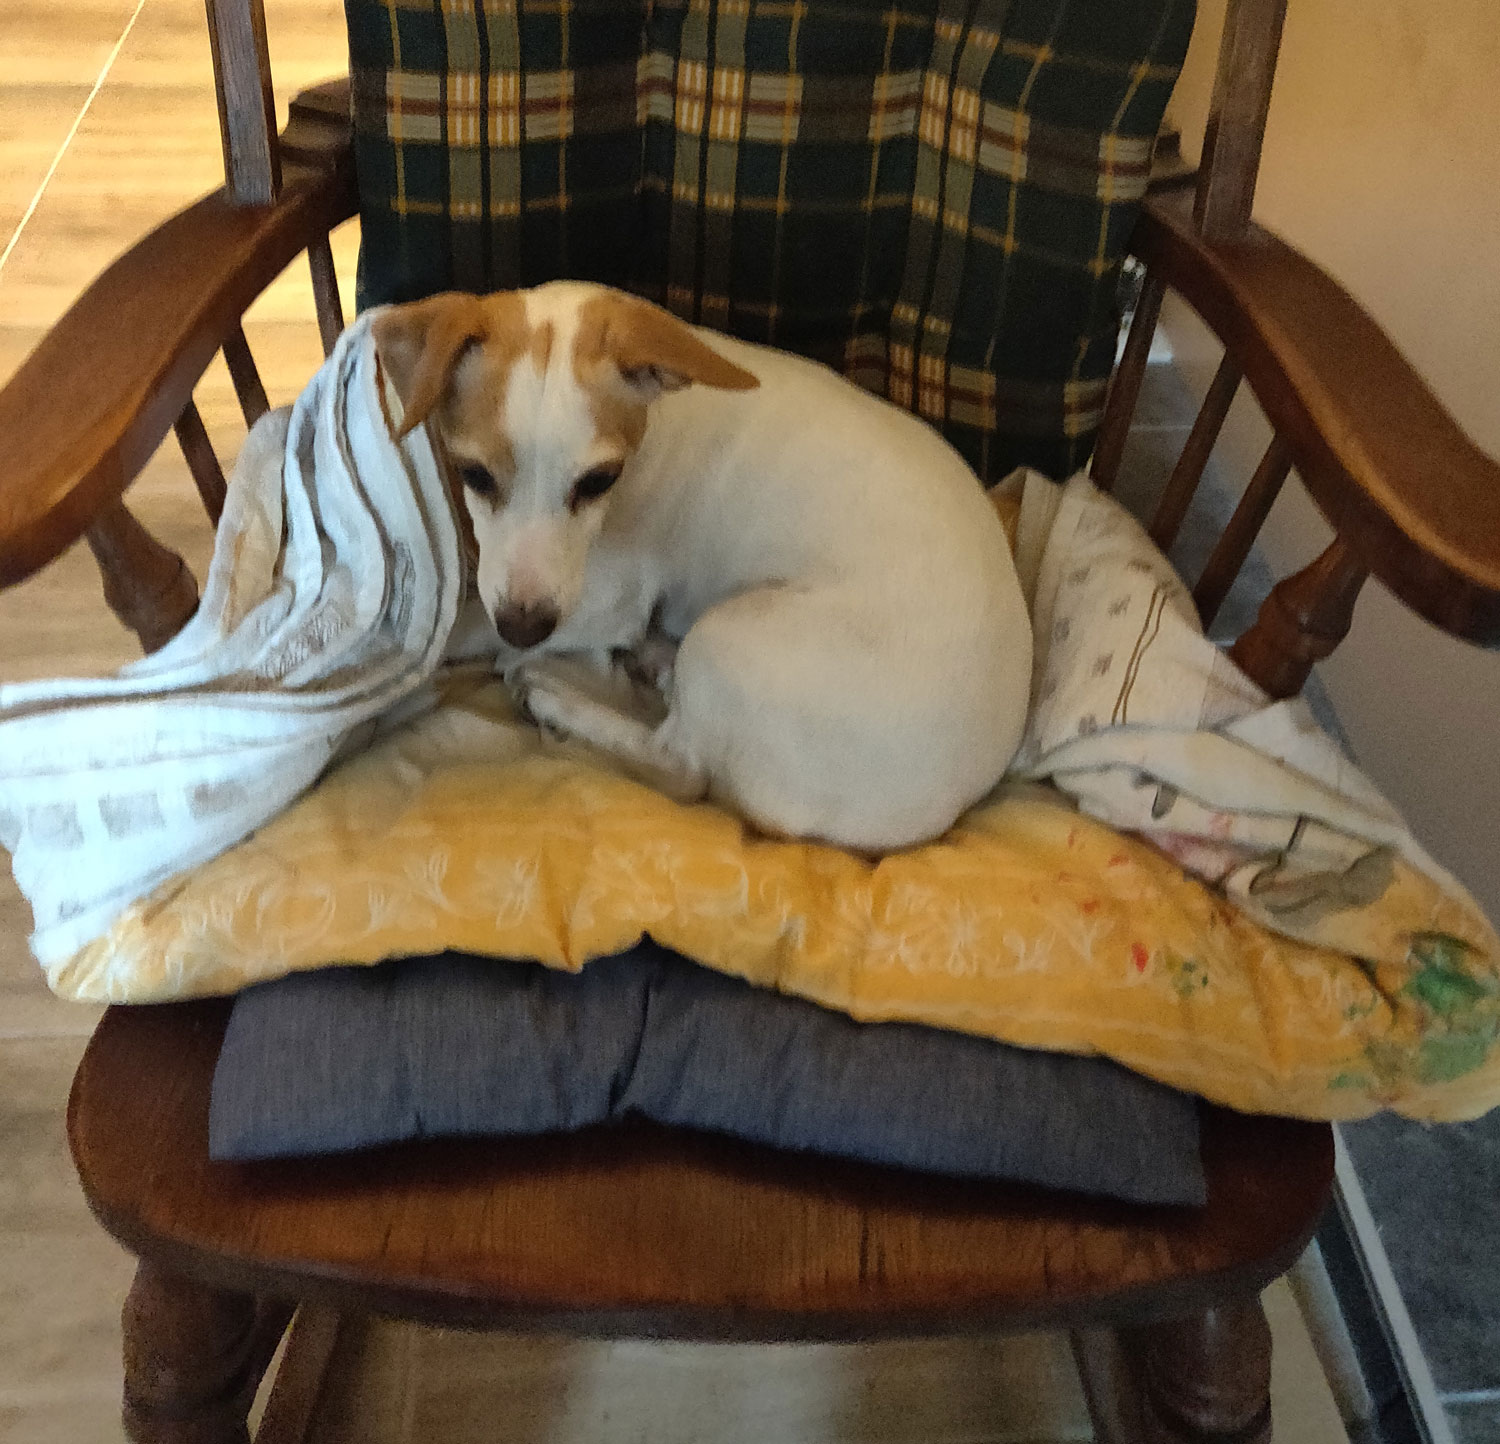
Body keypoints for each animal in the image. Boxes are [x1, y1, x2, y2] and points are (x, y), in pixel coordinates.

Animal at [372, 283, 1032, 850]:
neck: (655, 416)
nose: (525, 630)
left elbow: (463, 626)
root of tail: (944, 813)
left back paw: (558, 698)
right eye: (474, 474)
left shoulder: (602, 604)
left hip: (731, 639)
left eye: (600, 481)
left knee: (684, 766)